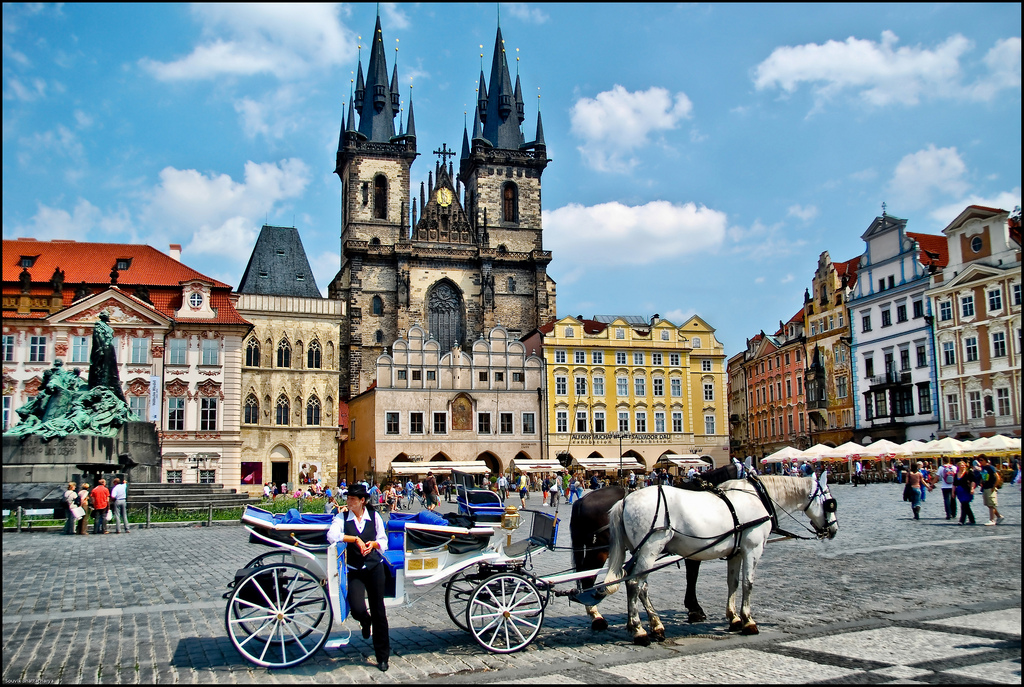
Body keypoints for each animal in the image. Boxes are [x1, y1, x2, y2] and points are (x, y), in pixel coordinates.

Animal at [569, 483, 704, 634]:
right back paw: (597, 617)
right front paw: (695, 610)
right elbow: (692, 575)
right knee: (588, 578)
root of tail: (582, 499)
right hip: (600, 550)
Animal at [602, 475, 835, 642]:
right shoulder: (752, 549)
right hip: (650, 548)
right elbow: (748, 584)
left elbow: (733, 582)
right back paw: (639, 630)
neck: (759, 497)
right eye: (830, 503)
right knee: (634, 583)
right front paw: (748, 621)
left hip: (641, 551)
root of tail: (625, 500)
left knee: (640, 585)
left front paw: (734, 618)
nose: (833, 530)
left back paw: (655, 625)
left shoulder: (736, 552)